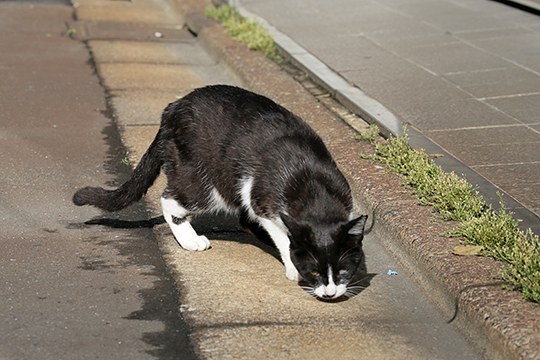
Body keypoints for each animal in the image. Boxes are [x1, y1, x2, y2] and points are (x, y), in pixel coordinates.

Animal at [74, 86, 370, 300]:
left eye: (343, 271)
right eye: (315, 272)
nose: (331, 293)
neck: (315, 191)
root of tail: (173, 108)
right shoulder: (263, 202)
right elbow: (283, 237)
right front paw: (291, 266)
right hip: (203, 181)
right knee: (170, 199)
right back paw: (190, 239)